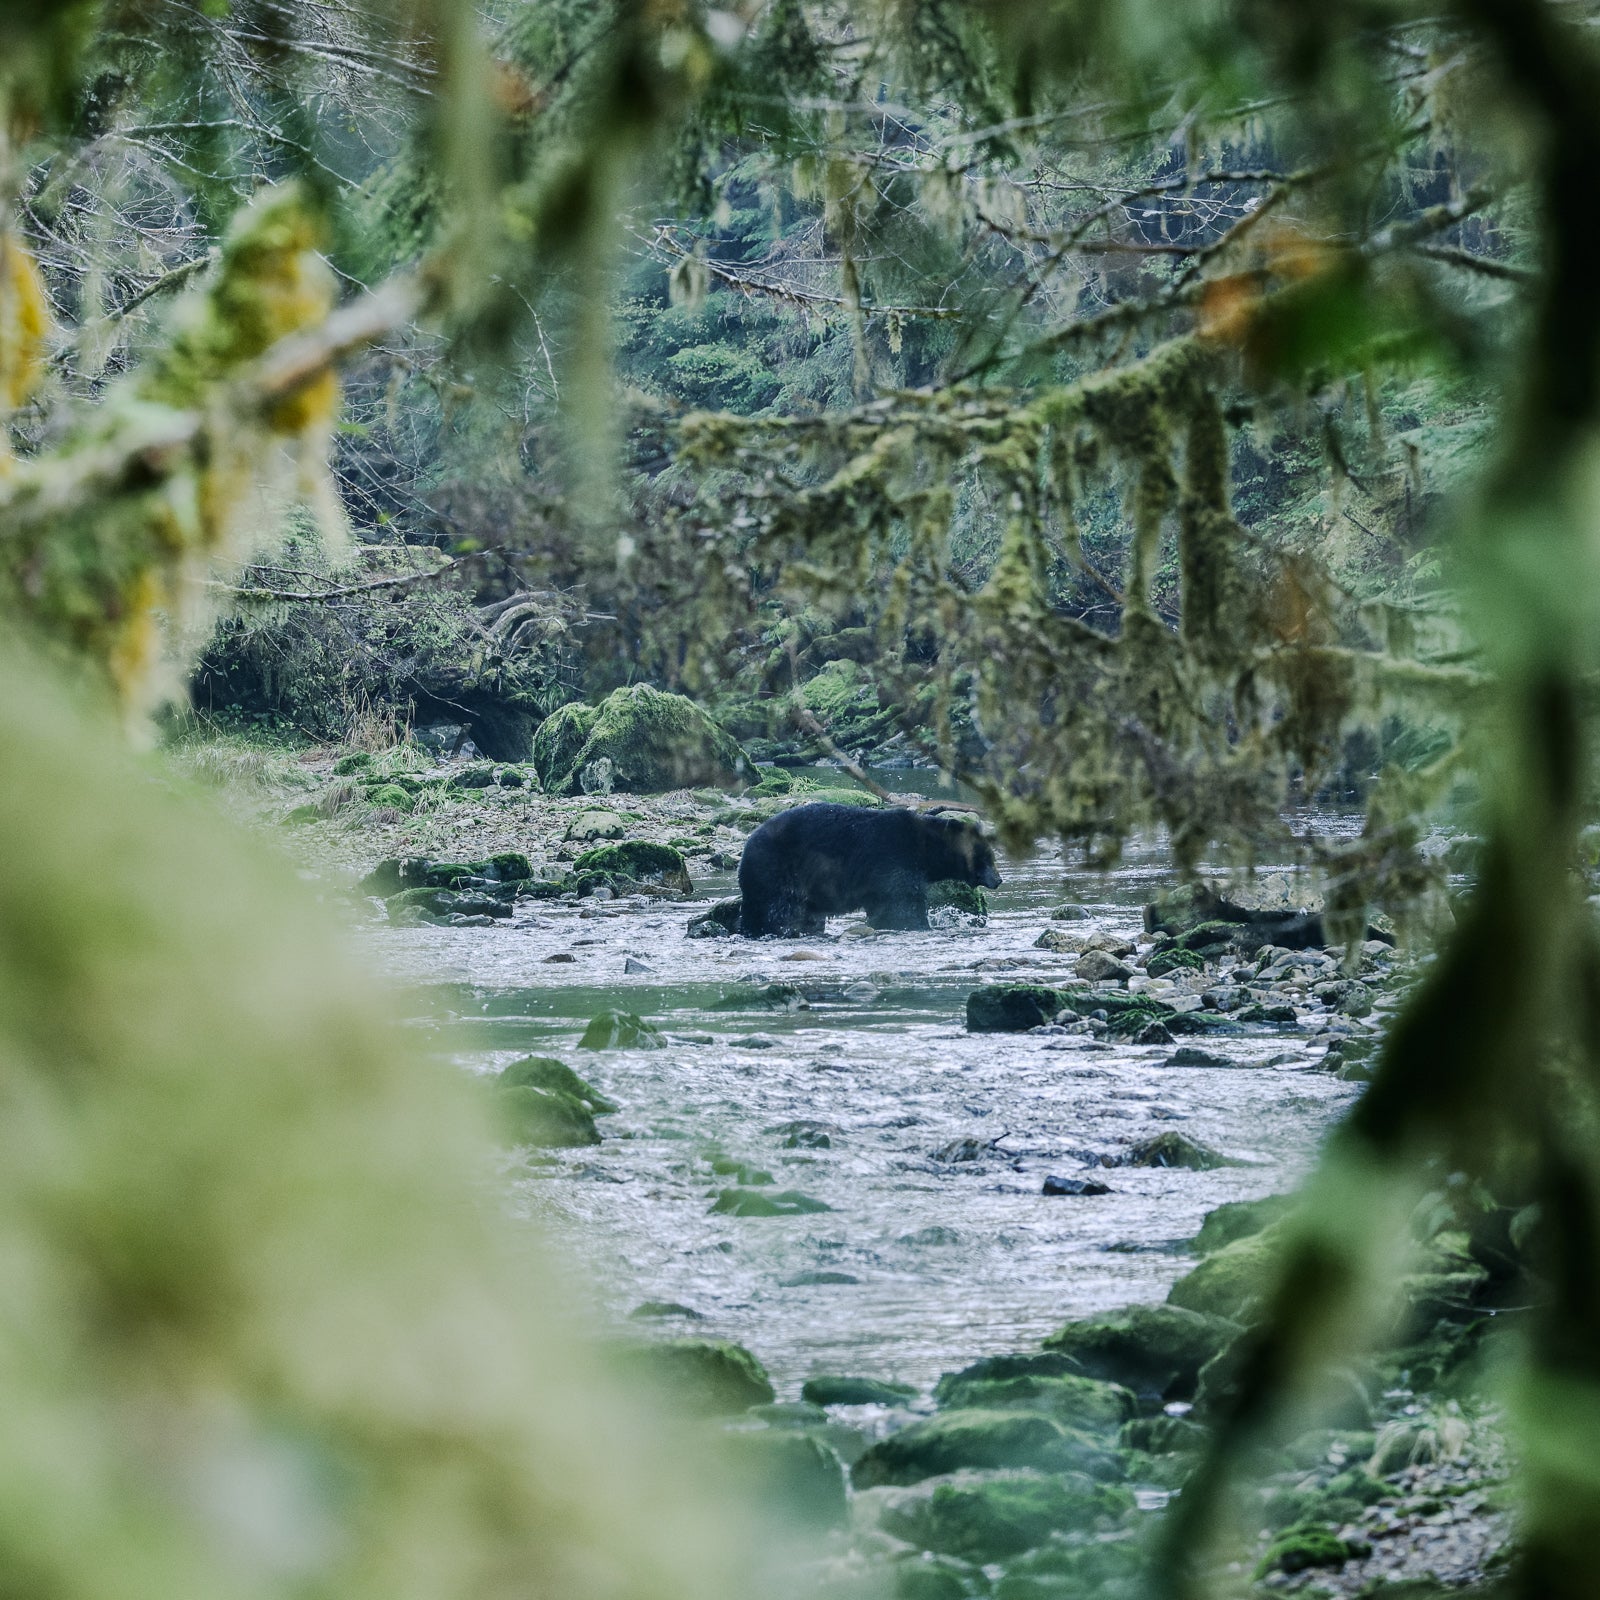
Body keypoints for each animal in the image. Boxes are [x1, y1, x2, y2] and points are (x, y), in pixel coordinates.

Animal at [737, 802, 1001, 937]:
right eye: (985, 856)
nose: (998, 879)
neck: (925, 846)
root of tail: (746, 849)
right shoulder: (893, 858)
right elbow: (903, 903)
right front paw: (918, 925)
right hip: (778, 871)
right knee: (779, 909)